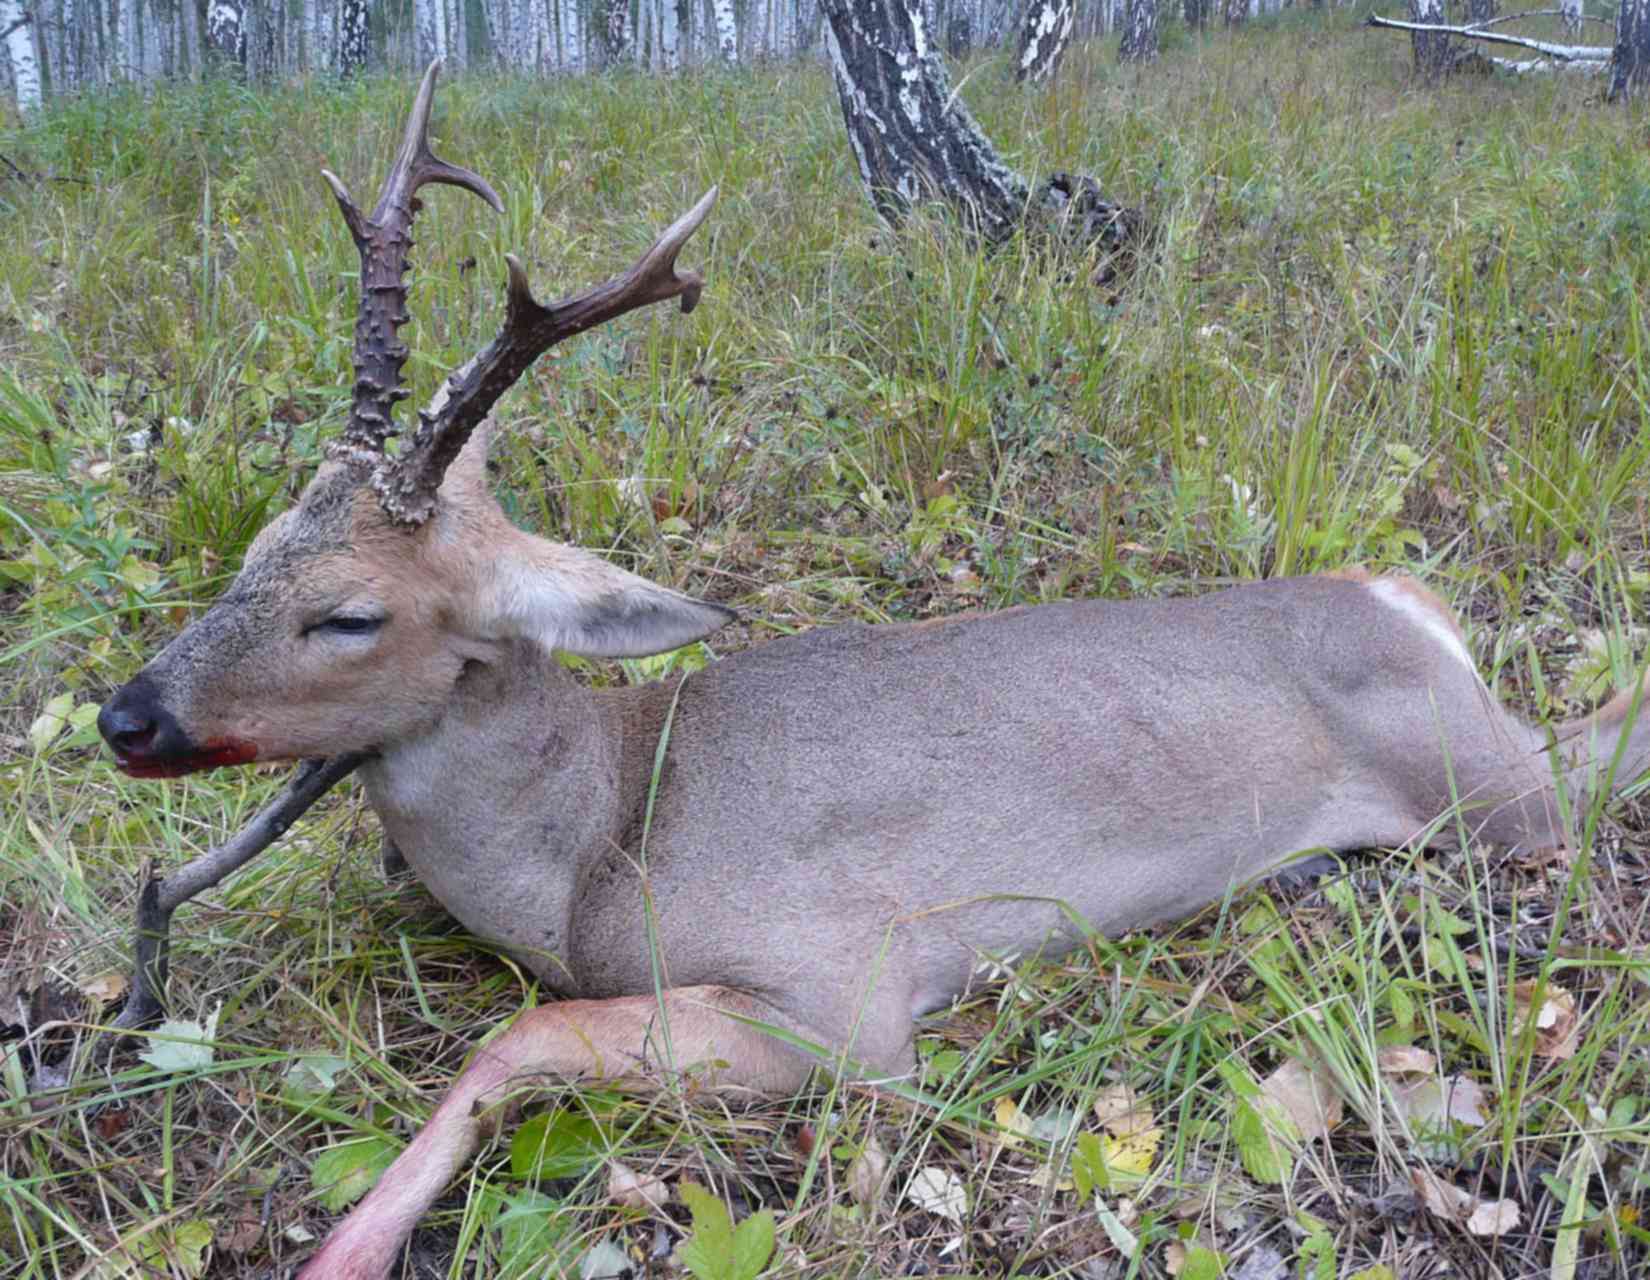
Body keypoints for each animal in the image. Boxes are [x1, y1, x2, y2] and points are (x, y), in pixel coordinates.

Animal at [96, 64, 1648, 1280]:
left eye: (350, 615)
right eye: (253, 543)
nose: (128, 715)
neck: (597, 835)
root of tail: (1402, 599)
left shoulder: (846, 995)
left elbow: (520, 1032)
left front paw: (346, 1249)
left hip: (1489, 788)